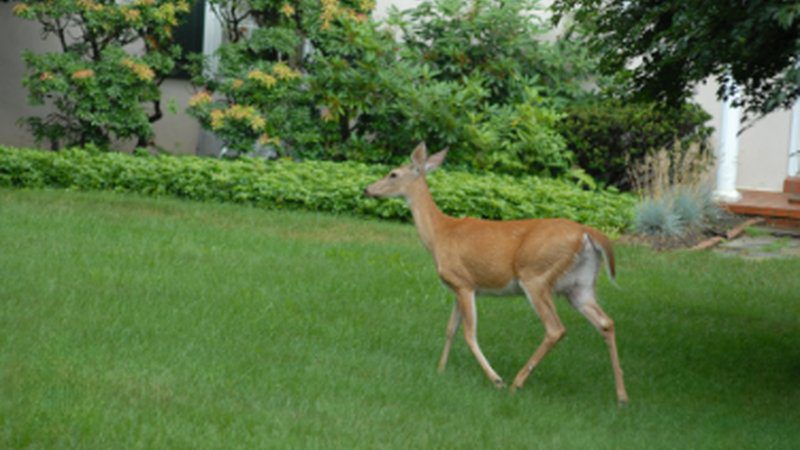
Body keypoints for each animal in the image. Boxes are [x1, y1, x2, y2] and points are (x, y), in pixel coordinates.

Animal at [364, 142, 629, 404]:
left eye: (393, 174)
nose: (367, 189)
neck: (439, 234)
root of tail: (588, 233)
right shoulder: (457, 287)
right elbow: (450, 329)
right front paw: (440, 370)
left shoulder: (464, 282)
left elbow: (468, 334)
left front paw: (495, 379)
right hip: (580, 285)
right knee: (606, 323)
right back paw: (622, 396)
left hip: (536, 276)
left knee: (556, 329)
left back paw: (515, 383)